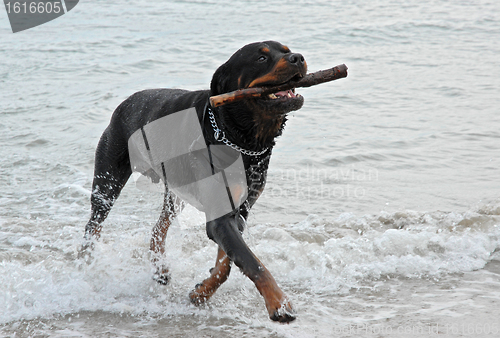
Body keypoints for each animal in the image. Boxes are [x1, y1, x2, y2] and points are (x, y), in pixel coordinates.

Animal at [82, 41, 306, 324]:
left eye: (287, 50)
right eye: (262, 58)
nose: (298, 57)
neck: (238, 137)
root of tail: (125, 102)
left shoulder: (240, 210)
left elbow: (226, 264)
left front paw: (201, 293)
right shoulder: (220, 217)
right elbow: (252, 261)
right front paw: (279, 303)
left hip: (176, 191)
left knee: (158, 227)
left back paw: (160, 270)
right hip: (108, 177)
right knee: (94, 224)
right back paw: (86, 262)